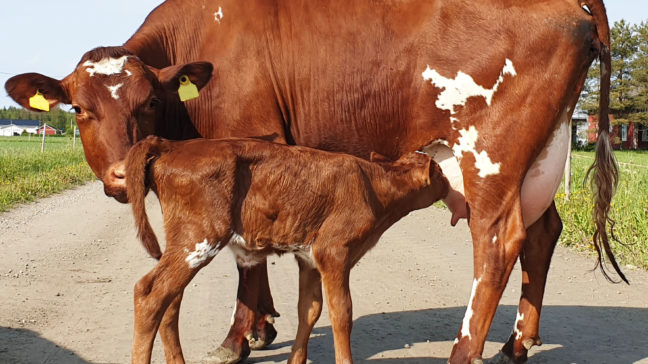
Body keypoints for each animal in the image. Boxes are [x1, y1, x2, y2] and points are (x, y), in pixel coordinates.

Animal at [123, 136, 450, 364]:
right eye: (440, 173)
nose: (449, 184)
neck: (374, 189)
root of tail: (173, 144)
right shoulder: (335, 251)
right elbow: (341, 312)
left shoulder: (309, 258)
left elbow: (309, 309)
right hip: (199, 236)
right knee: (150, 293)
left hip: (185, 244)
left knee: (170, 300)